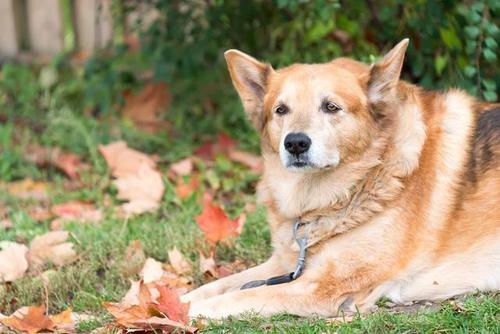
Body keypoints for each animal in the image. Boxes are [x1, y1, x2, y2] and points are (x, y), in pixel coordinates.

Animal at [183, 39, 500, 318]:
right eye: (281, 110)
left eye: (330, 107)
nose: (295, 143)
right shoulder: (284, 264)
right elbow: (213, 288)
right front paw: (177, 299)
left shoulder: (321, 286)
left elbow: (232, 298)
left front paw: (183, 313)